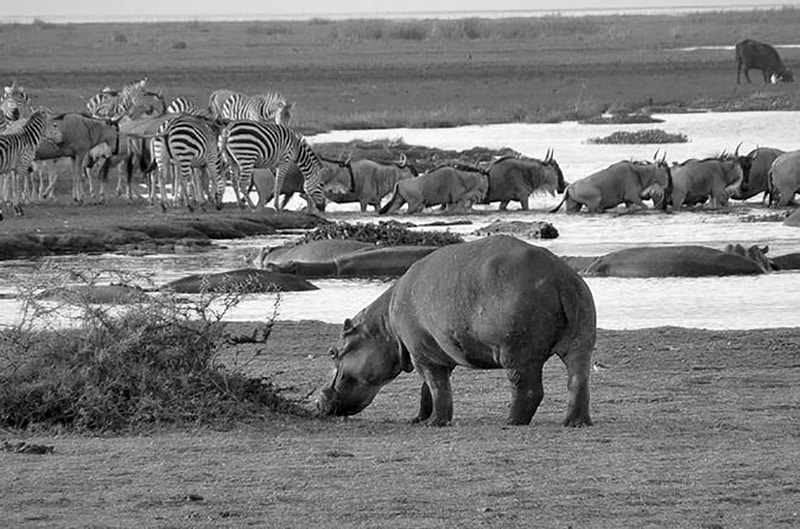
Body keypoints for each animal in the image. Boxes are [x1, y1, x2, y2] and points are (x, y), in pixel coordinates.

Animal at [316, 235, 596, 424]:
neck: (383, 326)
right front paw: (418, 419)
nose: (317, 401)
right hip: (581, 341)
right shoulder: (428, 353)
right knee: (578, 380)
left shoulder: (423, 354)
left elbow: (438, 388)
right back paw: (575, 422)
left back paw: (510, 421)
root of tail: (561, 277)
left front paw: (434, 423)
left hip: (517, 353)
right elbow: (427, 390)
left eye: (333, 352)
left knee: (528, 389)